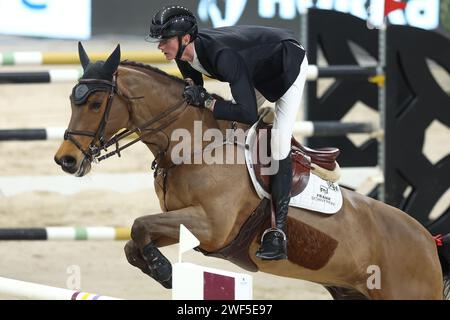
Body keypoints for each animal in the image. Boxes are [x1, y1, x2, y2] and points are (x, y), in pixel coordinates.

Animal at [54, 43, 448, 300]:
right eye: (72, 100)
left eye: (95, 103)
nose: (66, 161)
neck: (195, 148)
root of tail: (429, 241)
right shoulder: (184, 222)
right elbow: (134, 241)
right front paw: (160, 269)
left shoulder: (212, 226)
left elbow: (138, 226)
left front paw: (164, 272)